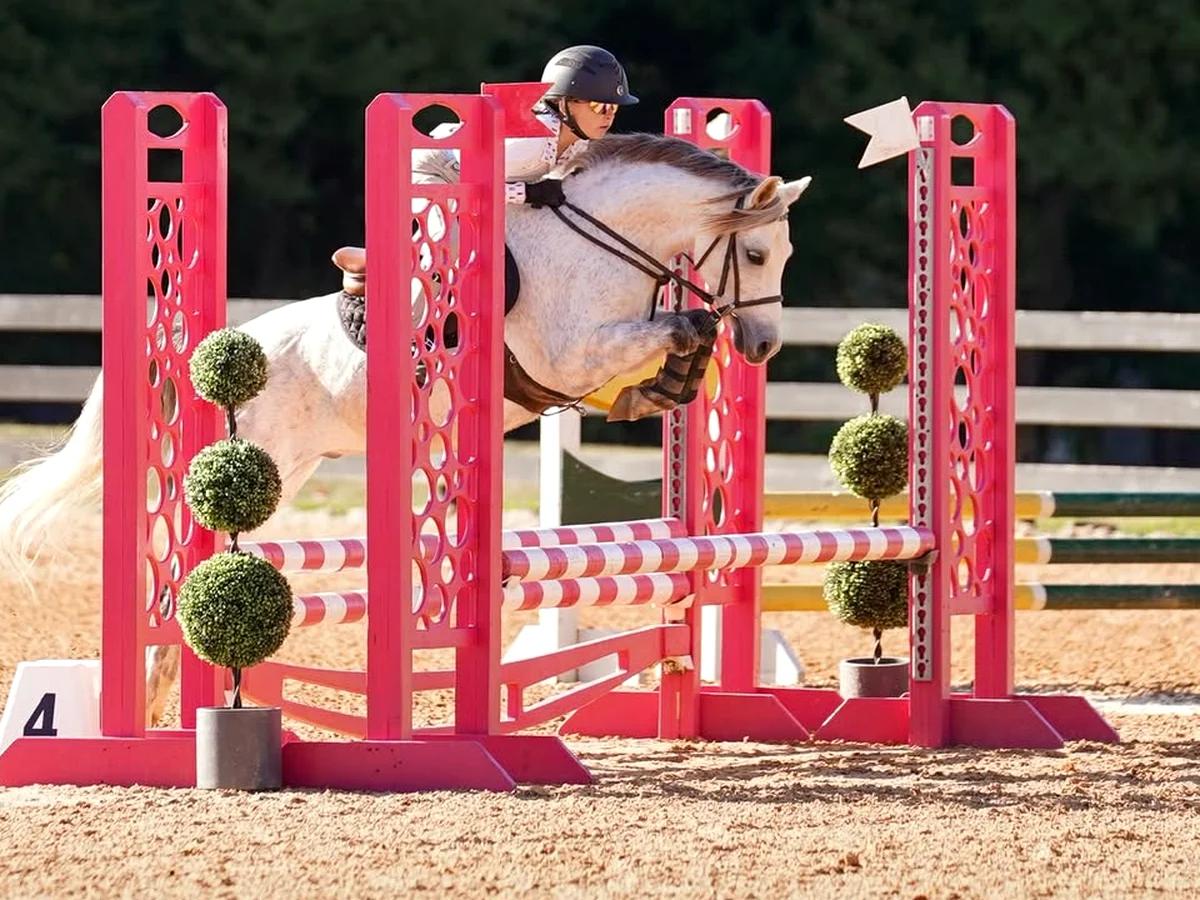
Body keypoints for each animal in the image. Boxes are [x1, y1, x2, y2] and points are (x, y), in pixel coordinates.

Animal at [0, 133, 809, 721]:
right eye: (757, 253)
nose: (765, 346)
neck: (597, 243)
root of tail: (200, 355)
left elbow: (677, 335)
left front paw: (669, 384)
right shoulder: (568, 356)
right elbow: (679, 324)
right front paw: (676, 364)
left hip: (287, 467)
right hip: (240, 468)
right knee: (174, 583)